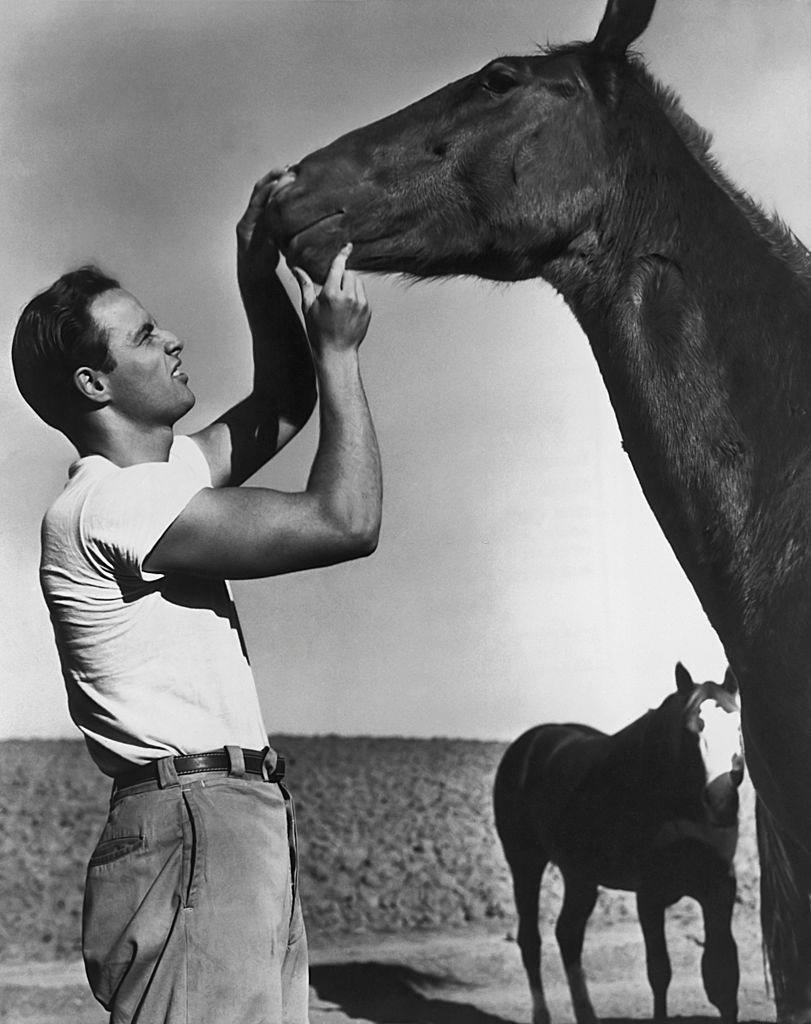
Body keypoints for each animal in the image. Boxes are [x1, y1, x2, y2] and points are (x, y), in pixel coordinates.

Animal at [491, 663, 745, 1024]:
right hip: (525, 862)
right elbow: (660, 972)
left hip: (579, 875)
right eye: (689, 731)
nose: (721, 803)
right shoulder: (650, 894)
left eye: (737, 725)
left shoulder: (719, 887)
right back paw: (542, 1014)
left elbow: (722, 973)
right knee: (531, 940)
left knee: (568, 934)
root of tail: (528, 744)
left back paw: (586, 1013)